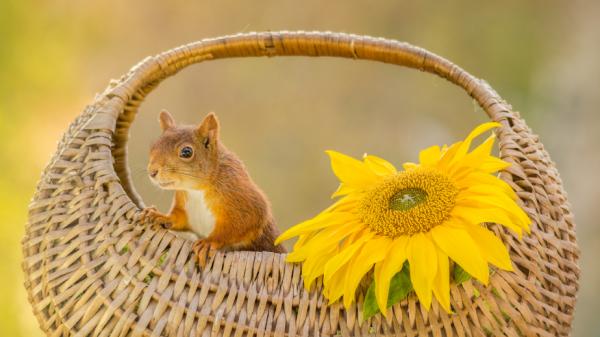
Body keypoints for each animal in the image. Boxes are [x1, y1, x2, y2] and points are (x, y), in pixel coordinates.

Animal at [139, 110, 284, 266]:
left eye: (186, 152)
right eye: (153, 146)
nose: (152, 172)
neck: (196, 191)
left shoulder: (243, 199)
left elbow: (239, 225)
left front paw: (208, 242)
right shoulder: (186, 209)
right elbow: (178, 218)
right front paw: (159, 215)